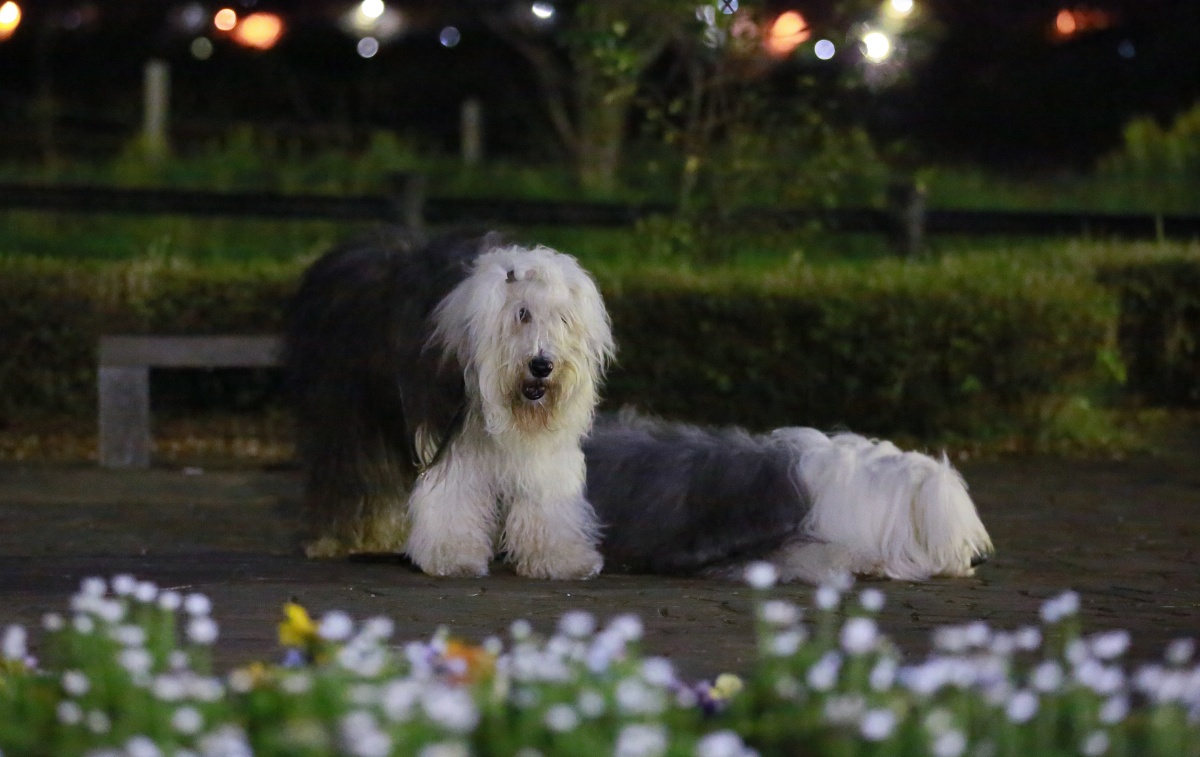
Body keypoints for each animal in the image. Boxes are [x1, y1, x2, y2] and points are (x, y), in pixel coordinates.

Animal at [284, 230, 614, 579]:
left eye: (563, 318)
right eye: (522, 314)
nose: (542, 366)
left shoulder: (541, 450)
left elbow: (546, 493)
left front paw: (559, 557)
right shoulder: (444, 428)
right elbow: (452, 488)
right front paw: (452, 555)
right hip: (347, 413)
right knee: (351, 472)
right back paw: (337, 540)